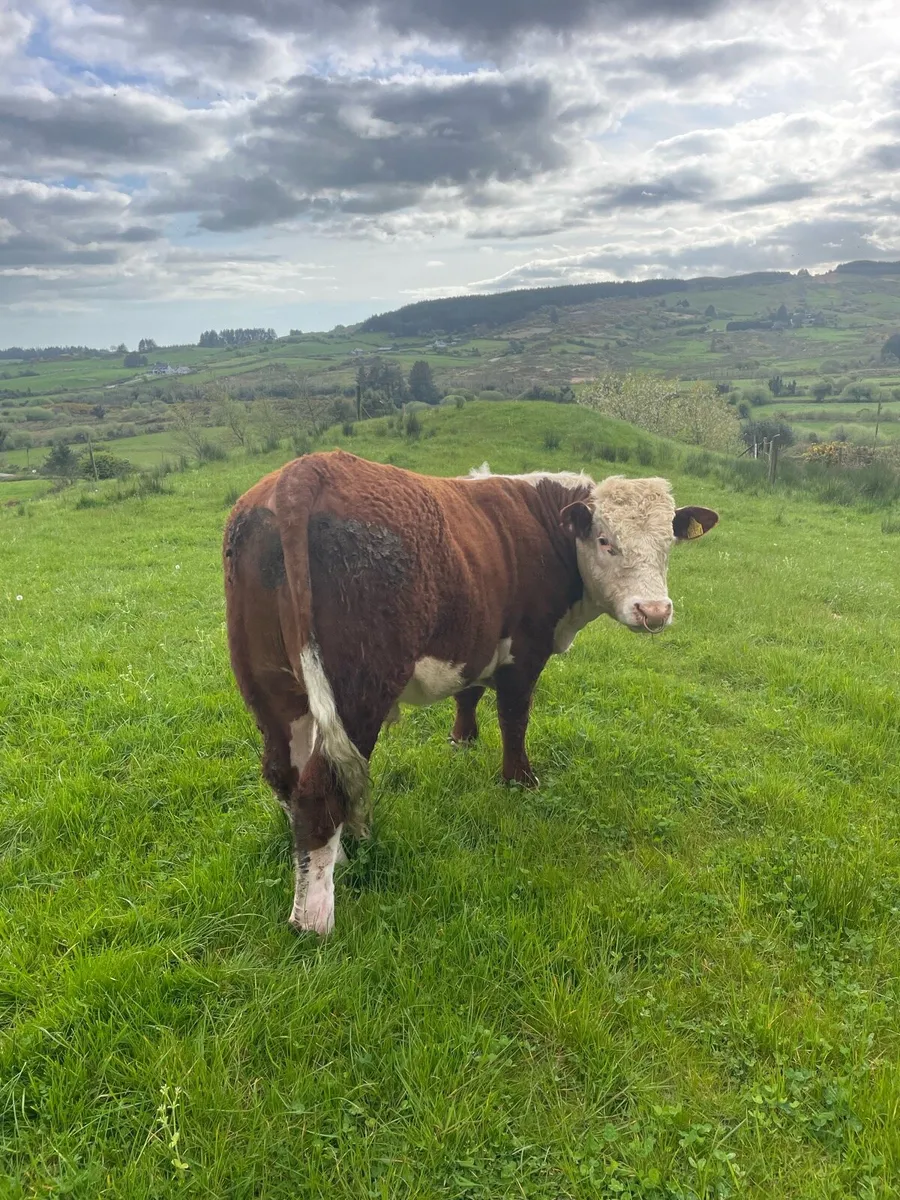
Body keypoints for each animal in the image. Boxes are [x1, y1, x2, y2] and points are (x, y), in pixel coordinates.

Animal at [223, 450, 718, 936]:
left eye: (668, 545)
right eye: (604, 540)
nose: (654, 611)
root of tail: (303, 472)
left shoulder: (478, 640)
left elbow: (469, 694)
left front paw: (462, 740)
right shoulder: (526, 648)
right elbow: (515, 717)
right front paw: (519, 780)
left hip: (271, 685)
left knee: (286, 775)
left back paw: (333, 859)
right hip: (357, 690)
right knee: (320, 790)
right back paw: (314, 920)